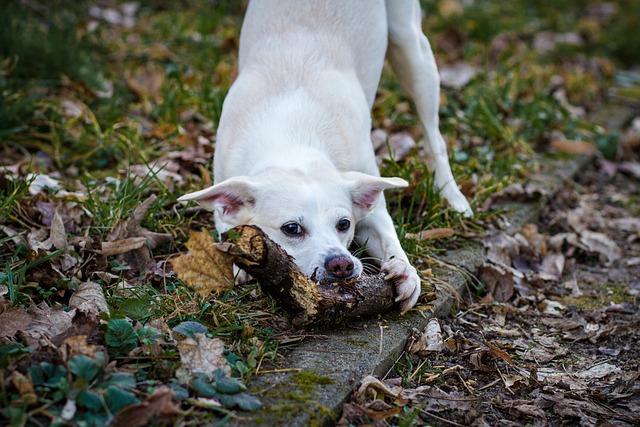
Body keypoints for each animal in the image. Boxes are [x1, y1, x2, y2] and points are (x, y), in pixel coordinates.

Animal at [178, 0, 472, 314]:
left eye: (344, 224)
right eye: (291, 228)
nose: (341, 264)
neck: (292, 137)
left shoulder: (372, 207)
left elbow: (389, 235)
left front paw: (405, 271)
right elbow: (226, 226)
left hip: (413, 51)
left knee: (433, 135)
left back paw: (451, 194)